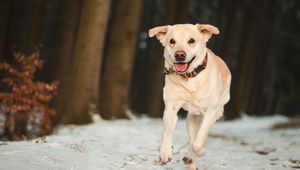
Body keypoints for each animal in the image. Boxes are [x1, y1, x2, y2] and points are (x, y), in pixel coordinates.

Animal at [149, 23, 231, 169]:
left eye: (191, 41)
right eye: (172, 41)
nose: (179, 55)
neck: (190, 77)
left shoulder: (210, 112)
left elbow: (198, 142)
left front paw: (195, 154)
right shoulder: (171, 108)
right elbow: (167, 132)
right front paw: (165, 152)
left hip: (216, 112)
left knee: (199, 138)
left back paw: (192, 156)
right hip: (191, 118)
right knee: (192, 137)